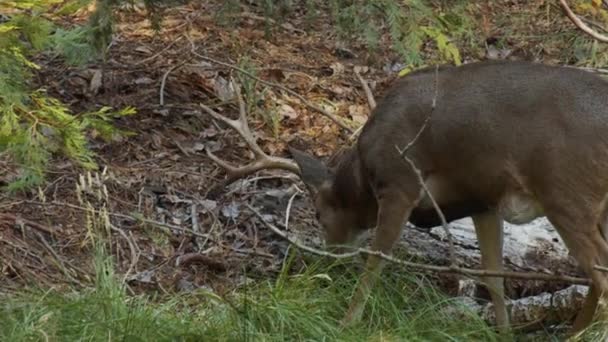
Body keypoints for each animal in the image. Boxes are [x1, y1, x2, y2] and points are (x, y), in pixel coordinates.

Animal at [202, 60, 608, 336]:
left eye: (317, 213)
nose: (331, 259)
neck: (363, 173)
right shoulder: (482, 199)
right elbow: (493, 277)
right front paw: (504, 334)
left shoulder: (400, 183)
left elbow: (375, 261)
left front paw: (346, 323)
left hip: (567, 192)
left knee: (601, 276)